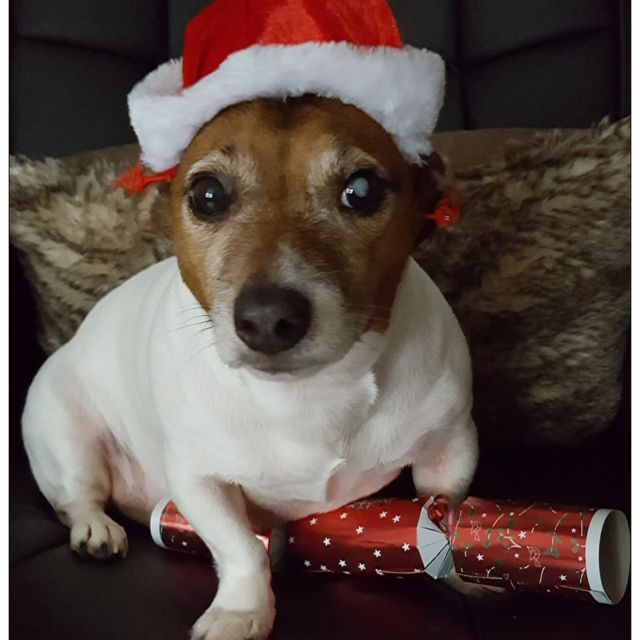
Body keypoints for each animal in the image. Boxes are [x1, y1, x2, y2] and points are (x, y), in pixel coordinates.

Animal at [22, 96, 483, 640]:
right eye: (207, 195)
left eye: (362, 190)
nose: (267, 319)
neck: (310, 393)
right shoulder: (198, 479)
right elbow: (239, 547)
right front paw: (242, 611)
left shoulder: (450, 445)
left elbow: (444, 505)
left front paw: (459, 563)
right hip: (69, 439)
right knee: (77, 497)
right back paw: (95, 529)